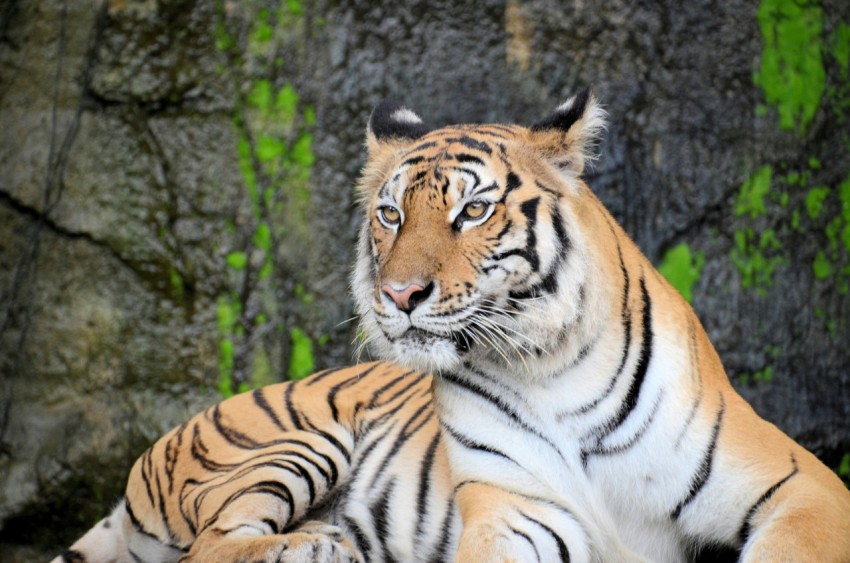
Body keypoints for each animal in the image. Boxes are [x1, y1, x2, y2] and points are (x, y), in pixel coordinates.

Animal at [54, 89, 850, 563]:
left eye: (472, 210)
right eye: (390, 213)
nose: (400, 293)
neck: (550, 366)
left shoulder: (802, 487)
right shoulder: (517, 510)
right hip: (288, 443)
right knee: (213, 545)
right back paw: (319, 546)